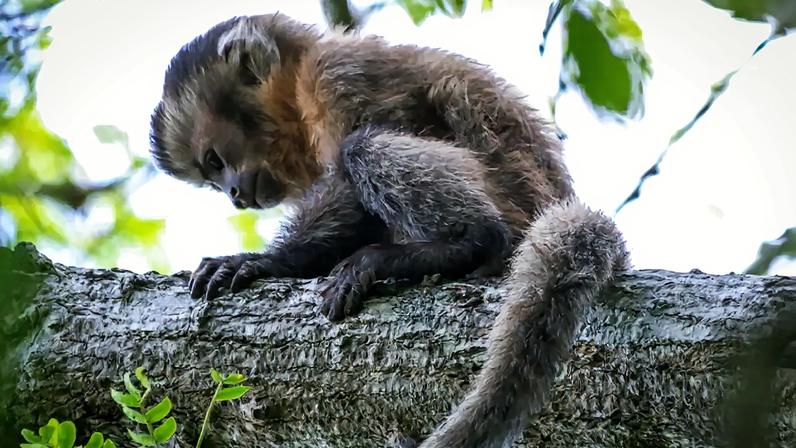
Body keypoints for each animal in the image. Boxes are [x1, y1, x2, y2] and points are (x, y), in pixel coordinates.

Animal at [149, 13, 630, 448]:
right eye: (212, 177)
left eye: (215, 161)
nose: (232, 193)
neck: (300, 84)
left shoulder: (340, 76)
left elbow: (351, 182)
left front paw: (266, 262)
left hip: (509, 198)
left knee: (363, 148)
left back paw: (466, 244)